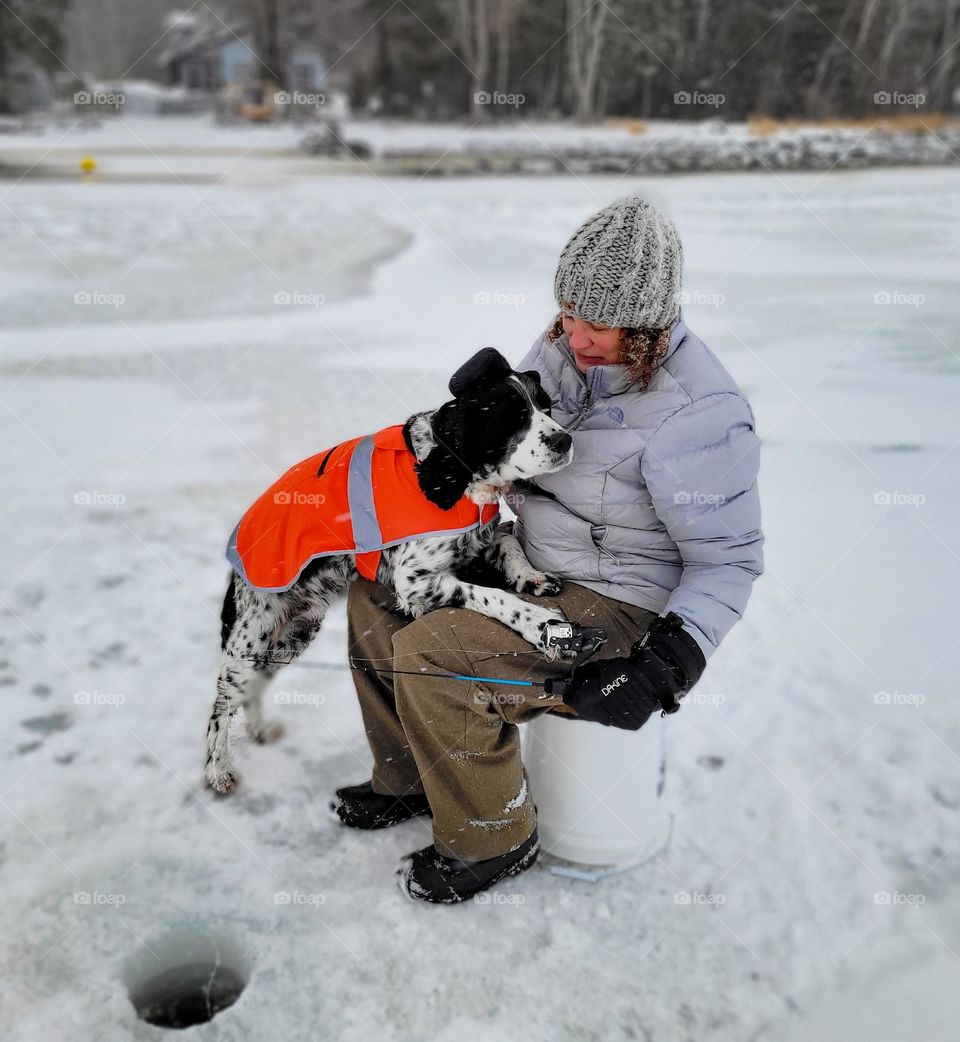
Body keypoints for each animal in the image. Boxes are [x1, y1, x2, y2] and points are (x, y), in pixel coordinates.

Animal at [205, 345, 571, 791]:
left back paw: (258, 729)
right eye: (512, 416)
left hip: (292, 635)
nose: (565, 439)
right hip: (249, 638)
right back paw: (217, 769)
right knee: (220, 705)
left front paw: (531, 577)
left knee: (253, 690)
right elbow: (492, 595)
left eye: (545, 406)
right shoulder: (415, 581)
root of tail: (234, 558)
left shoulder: (479, 540)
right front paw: (540, 623)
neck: (445, 471)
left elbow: (509, 543)